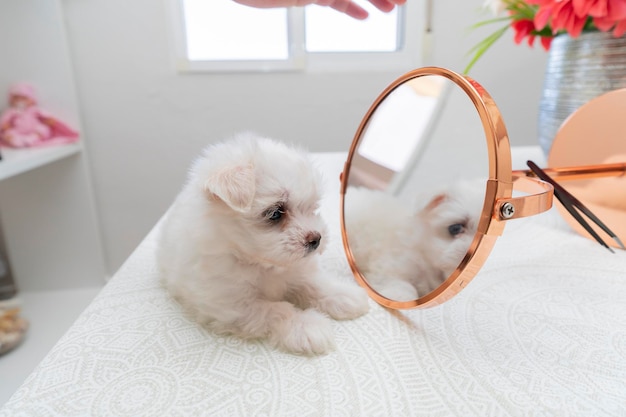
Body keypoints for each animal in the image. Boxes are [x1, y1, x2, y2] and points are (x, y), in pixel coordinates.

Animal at [158, 133, 368, 354]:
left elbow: (313, 284)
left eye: (312, 208)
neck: (262, 264)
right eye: (275, 213)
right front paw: (306, 326)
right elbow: (277, 309)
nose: (316, 239)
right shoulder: (232, 306)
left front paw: (343, 295)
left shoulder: (298, 269)